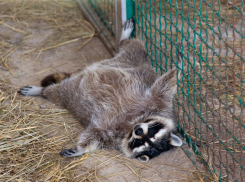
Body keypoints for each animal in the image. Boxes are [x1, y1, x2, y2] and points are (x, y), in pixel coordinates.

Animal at [19, 19, 183, 162]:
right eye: (151, 131)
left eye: (139, 143)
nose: (137, 130)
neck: (135, 119)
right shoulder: (158, 102)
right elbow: (166, 83)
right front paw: (180, 65)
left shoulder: (111, 133)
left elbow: (95, 135)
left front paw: (81, 149)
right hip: (131, 61)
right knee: (135, 47)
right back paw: (123, 39)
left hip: (71, 92)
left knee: (58, 92)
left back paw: (44, 91)